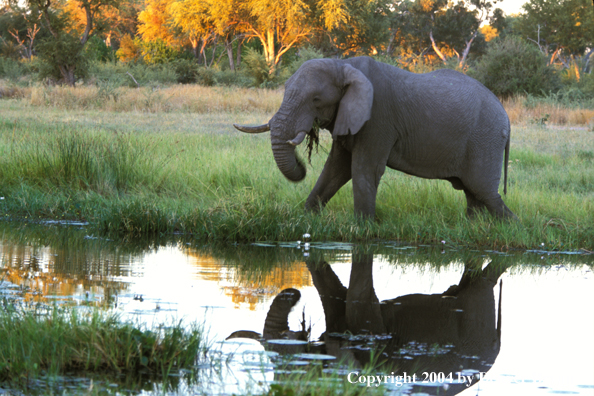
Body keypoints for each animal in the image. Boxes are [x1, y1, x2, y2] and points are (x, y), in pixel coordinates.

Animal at [234, 56, 516, 220]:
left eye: (316, 100)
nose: (302, 164)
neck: (344, 64)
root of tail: (506, 116)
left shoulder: (378, 118)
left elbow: (363, 169)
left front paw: (363, 227)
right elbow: (336, 169)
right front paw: (307, 218)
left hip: (485, 139)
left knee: (484, 191)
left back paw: (511, 226)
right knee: (473, 192)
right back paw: (473, 225)